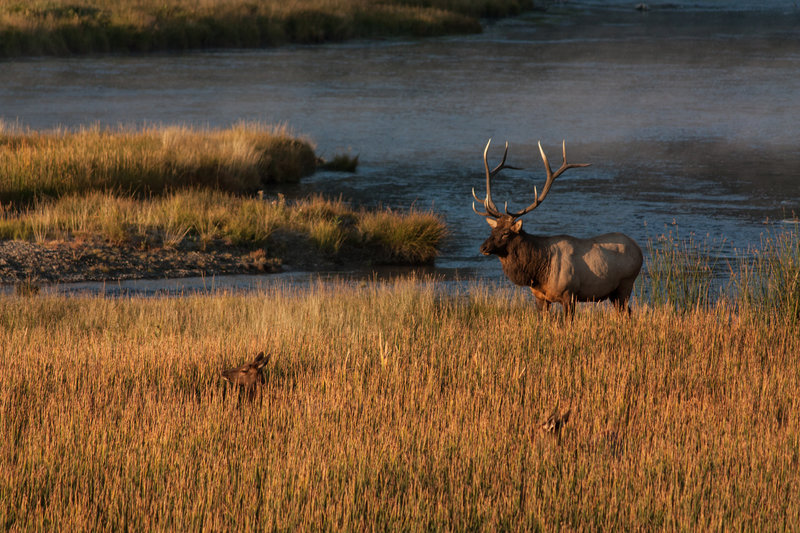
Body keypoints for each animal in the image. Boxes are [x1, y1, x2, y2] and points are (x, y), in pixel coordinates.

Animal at [476, 140, 644, 316]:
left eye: (506, 233)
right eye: (492, 230)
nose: (483, 247)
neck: (538, 272)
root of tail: (638, 249)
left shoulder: (569, 294)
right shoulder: (540, 297)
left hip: (625, 284)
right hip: (614, 293)